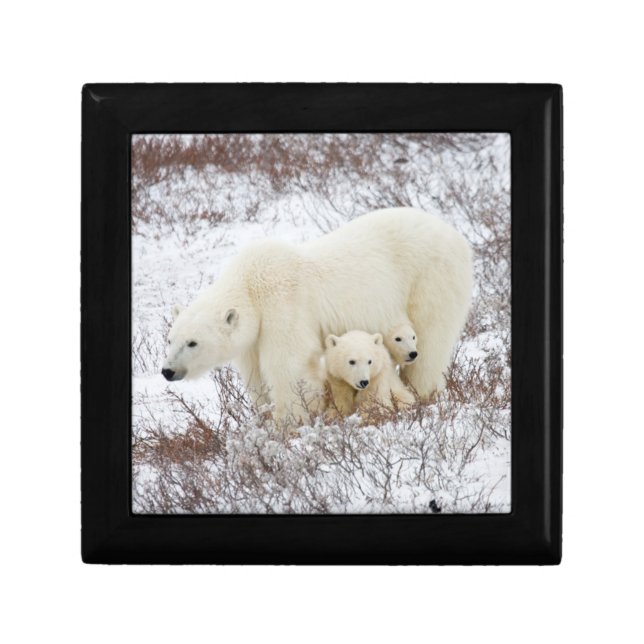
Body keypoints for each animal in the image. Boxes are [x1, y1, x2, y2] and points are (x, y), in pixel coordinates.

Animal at [162, 207, 472, 423]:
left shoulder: (283, 304)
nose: (168, 371)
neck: (250, 286)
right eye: (170, 339)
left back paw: (422, 393)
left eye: (192, 342)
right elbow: (256, 376)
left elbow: (291, 366)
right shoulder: (253, 337)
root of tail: (456, 235)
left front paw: (290, 423)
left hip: (430, 278)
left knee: (430, 341)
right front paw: (264, 415)